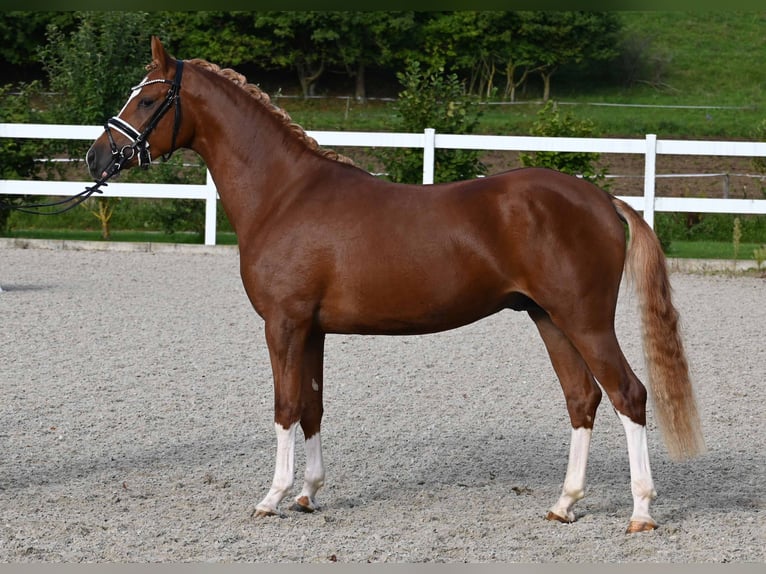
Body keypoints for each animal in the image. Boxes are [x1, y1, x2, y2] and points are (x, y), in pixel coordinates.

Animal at [86, 37, 705, 534]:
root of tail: (601, 198)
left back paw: (641, 512)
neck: (284, 195)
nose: (96, 157)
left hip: (585, 320)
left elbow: (285, 406)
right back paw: (565, 504)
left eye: (147, 99)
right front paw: (309, 494)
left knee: (629, 395)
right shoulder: (311, 330)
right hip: (549, 318)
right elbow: (312, 406)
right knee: (583, 399)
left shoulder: (283, 324)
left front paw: (273, 497)